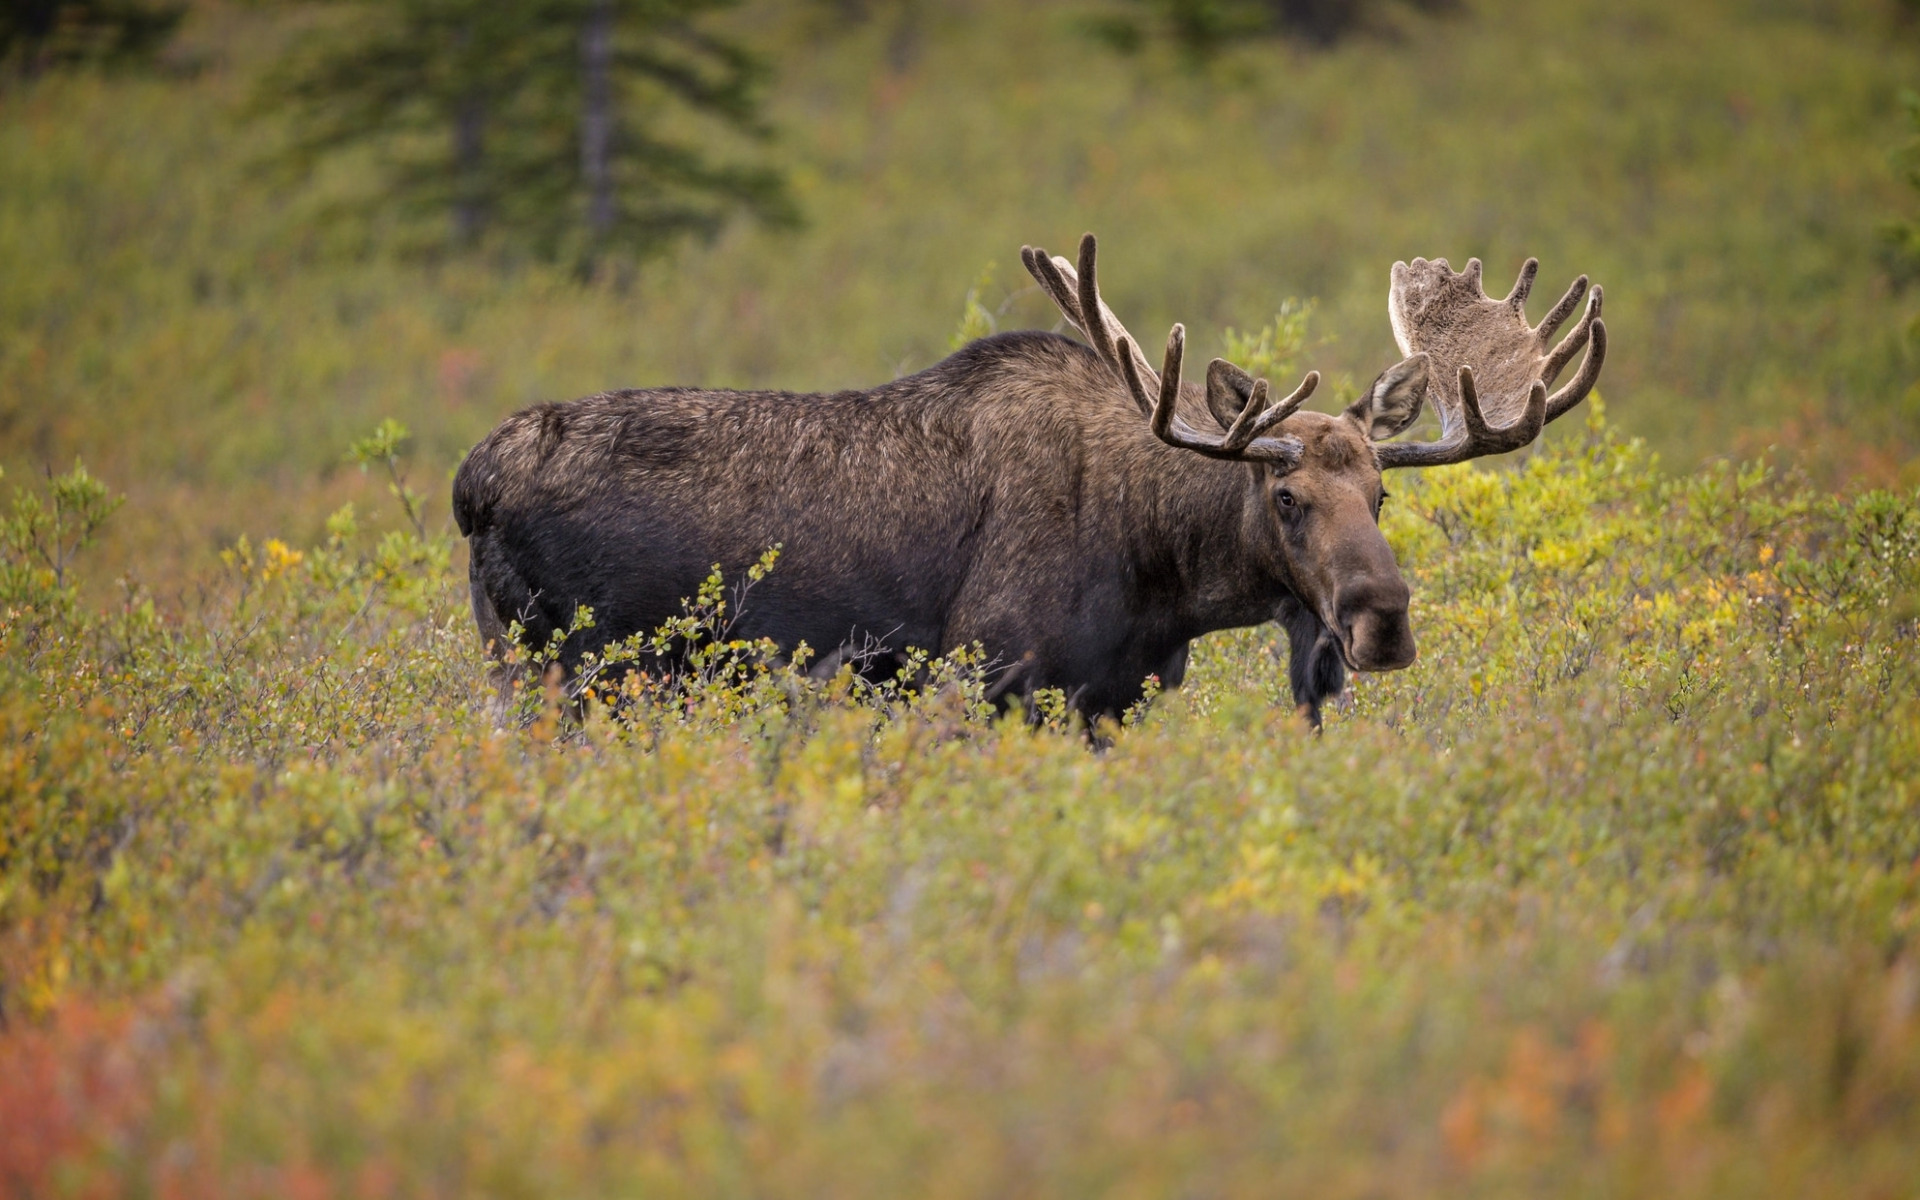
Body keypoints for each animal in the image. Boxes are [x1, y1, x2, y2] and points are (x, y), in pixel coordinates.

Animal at [449, 233, 1605, 721]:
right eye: (1286, 498)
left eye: (1382, 494)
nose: (1383, 621)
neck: (1166, 580)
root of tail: (475, 481)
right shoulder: (994, 678)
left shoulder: (1112, 701)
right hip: (579, 668)